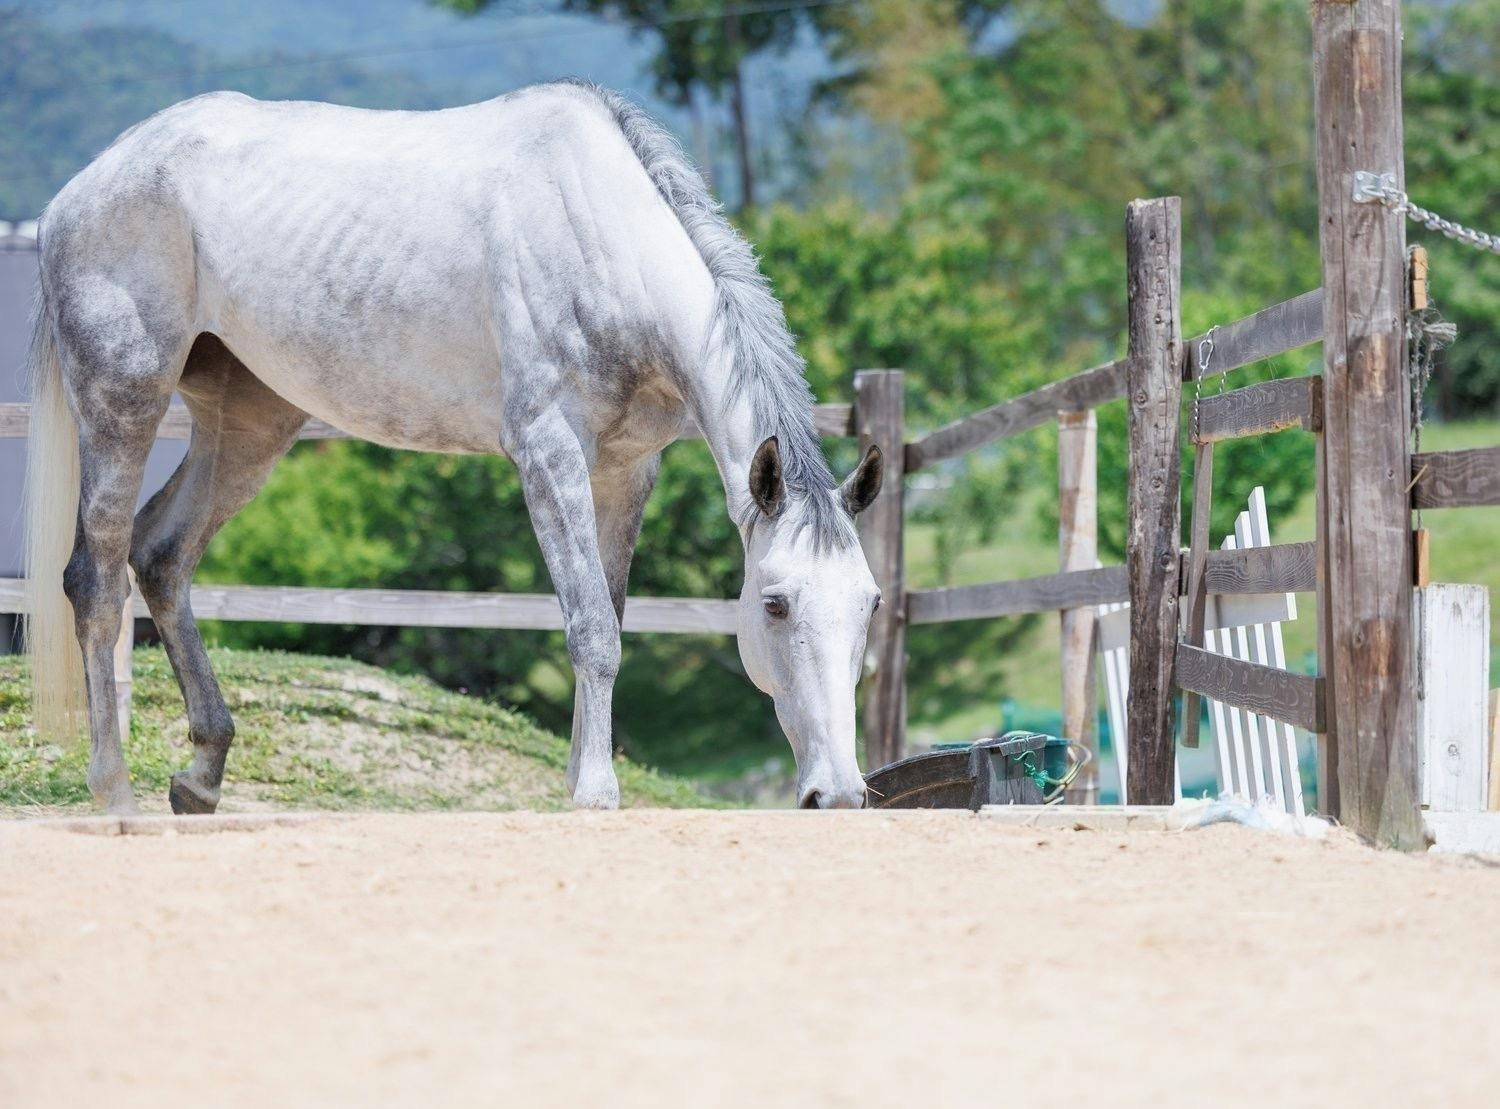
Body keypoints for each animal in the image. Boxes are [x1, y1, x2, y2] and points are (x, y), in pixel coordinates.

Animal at [23, 82, 882, 816]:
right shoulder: (548, 451)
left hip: (249, 423)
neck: (603, 238)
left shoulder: (626, 469)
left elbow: (607, 615)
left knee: (162, 555)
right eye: (773, 603)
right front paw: (595, 794)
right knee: (95, 579)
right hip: (124, 401)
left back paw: (201, 779)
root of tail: (82, 188)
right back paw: (115, 794)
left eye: (871, 603)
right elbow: (592, 629)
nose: (838, 795)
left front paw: (578, 784)